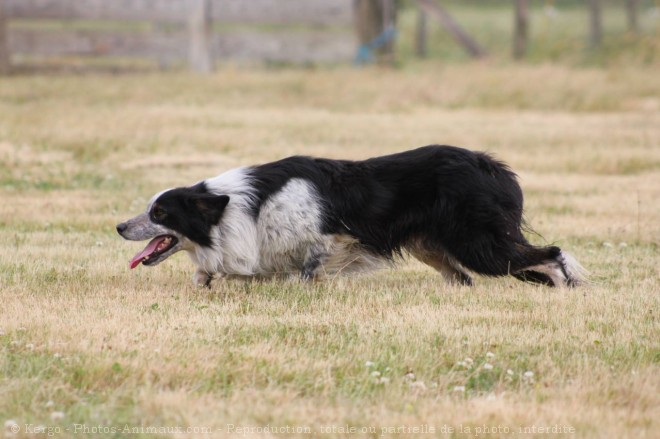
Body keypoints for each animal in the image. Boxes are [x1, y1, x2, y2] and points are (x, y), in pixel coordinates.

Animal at [116, 145, 584, 288]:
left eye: (159, 212)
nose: (119, 226)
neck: (239, 204)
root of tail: (493, 166)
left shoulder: (329, 240)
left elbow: (307, 272)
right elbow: (213, 272)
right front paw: (205, 282)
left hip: (478, 243)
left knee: (551, 254)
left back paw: (566, 291)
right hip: (433, 248)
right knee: (463, 279)